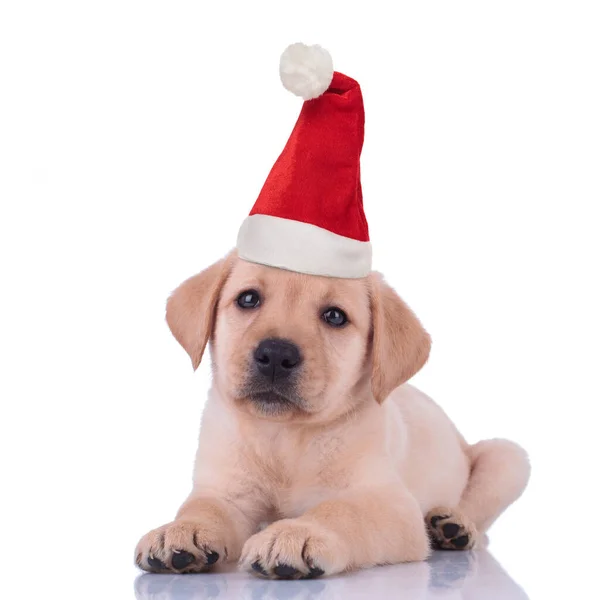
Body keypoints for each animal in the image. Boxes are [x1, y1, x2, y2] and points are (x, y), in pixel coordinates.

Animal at [136, 252, 528, 576]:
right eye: (248, 299)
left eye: (335, 316)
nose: (276, 354)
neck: (284, 435)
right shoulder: (226, 492)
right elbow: (204, 507)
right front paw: (180, 530)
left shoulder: (390, 503)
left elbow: (340, 511)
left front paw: (295, 534)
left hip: (509, 457)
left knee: (480, 520)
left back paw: (453, 527)